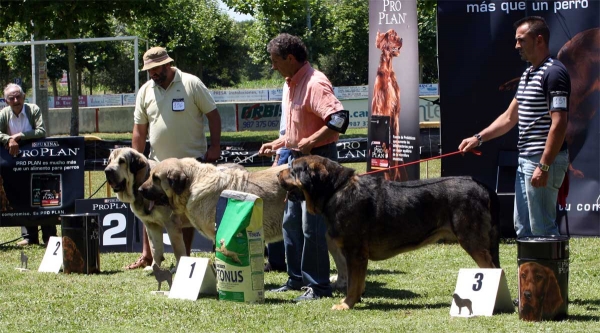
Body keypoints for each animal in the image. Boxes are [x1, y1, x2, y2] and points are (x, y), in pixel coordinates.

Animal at [278, 155, 502, 308]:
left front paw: (347, 304)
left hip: (472, 241)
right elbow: (357, 282)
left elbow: (352, 284)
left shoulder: (355, 253)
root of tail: (481, 187)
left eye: (292, 169)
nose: (278, 173)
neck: (335, 190)